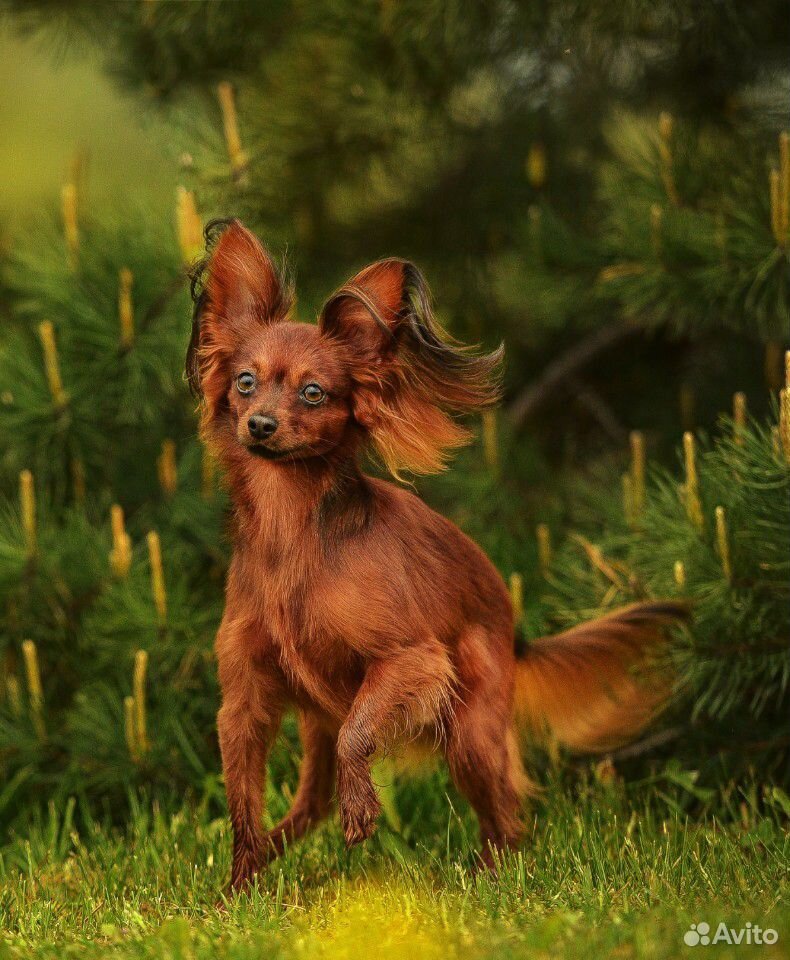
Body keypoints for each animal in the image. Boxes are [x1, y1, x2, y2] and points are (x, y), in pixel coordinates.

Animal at [187, 219, 688, 892]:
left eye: (314, 393)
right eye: (245, 382)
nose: (261, 424)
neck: (290, 529)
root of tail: (516, 633)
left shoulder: (411, 661)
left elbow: (358, 734)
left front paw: (362, 810)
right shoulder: (244, 703)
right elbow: (242, 801)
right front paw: (239, 890)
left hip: (469, 731)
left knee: (506, 815)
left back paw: (491, 877)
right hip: (320, 717)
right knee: (312, 803)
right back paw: (277, 851)